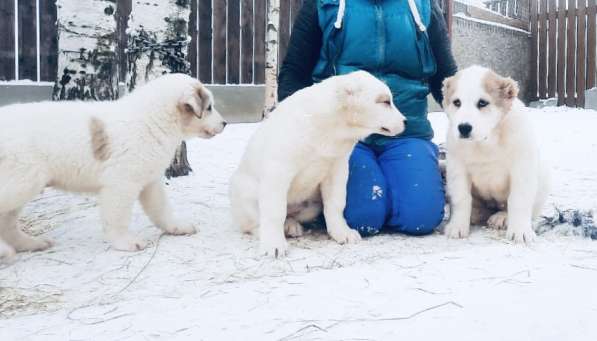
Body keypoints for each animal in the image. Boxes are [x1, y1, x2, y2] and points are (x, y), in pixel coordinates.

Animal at [0, 71, 227, 258]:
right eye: (209, 108)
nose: (225, 123)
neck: (152, 120)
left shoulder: (150, 182)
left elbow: (161, 210)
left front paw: (177, 227)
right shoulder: (121, 185)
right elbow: (118, 217)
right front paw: (125, 242)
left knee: (7, 223)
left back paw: (29, 243)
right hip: (21, 184)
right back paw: (6, 251)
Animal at [228, 72, 406, 258]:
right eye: (385, 102)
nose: (406, 122)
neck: (331, 126)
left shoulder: (337, 168)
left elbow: (336, 203)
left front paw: (342, 232)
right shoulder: (278, 170)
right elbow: (274, 212)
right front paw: (274, 245)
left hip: (312, 206)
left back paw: (290, 226)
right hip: (244, 193)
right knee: (254, 222)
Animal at [440, 65, 548, 242]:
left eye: (482, 103)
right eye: (457, 102)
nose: (463, 128)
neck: (487, 140)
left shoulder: (522, 166)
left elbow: (519, 199)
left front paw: (520, 231)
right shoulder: (457, 166)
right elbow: (462, 197)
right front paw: (457, 227)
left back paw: (502, 217)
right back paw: (476, 213)